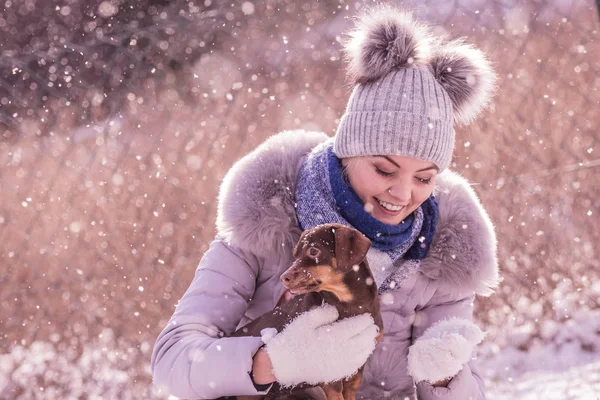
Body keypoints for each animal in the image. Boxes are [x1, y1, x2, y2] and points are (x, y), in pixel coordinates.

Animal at [230, 223, 384, 398]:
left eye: (313, 251)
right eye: (295, 255)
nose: (283, 278)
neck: (350, 303)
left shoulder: (358, 365)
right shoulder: (330, 370)